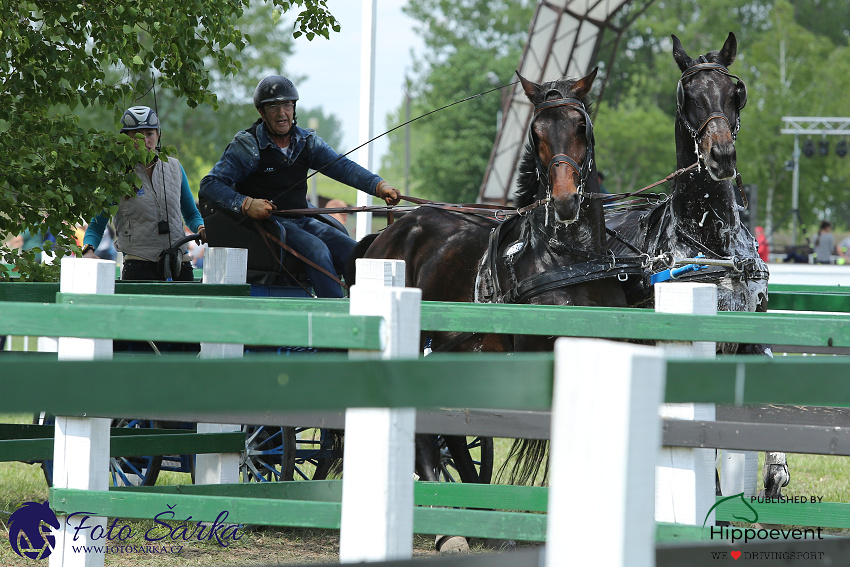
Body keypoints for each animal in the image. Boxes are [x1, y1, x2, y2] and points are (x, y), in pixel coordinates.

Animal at [608, 33, 784, 500]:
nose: (722, 155)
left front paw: (775, 471)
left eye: (734, 94)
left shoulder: (748, 332)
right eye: (688, 97)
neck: (712, 243)